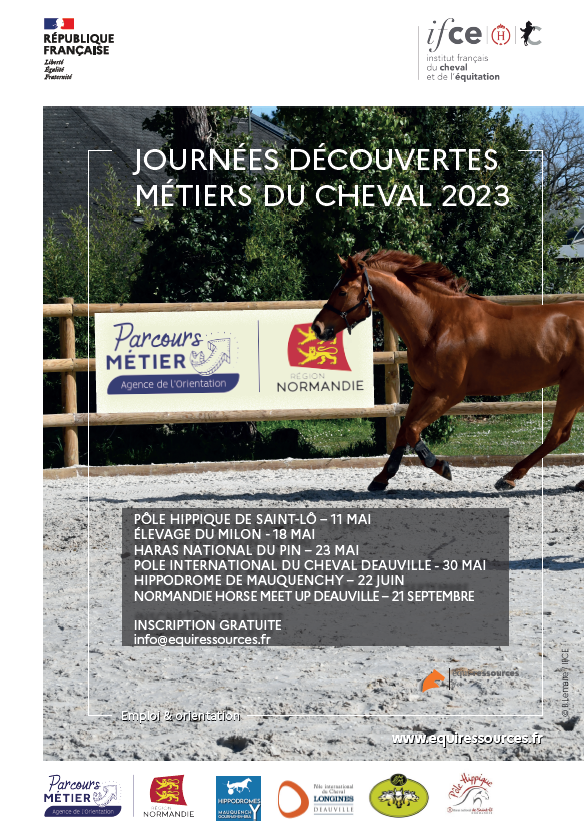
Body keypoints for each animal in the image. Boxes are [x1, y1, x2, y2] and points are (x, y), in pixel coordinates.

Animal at [311, 250, 584, 493]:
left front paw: (441, 466)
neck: (436, 322)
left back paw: (509, 478)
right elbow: (403, 432)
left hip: (572, 386)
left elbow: (412, 430)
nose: (317, 327)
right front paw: (380, 479)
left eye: (342, 291)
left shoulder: (448, 393)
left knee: (558, 434)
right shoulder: (423, 389)